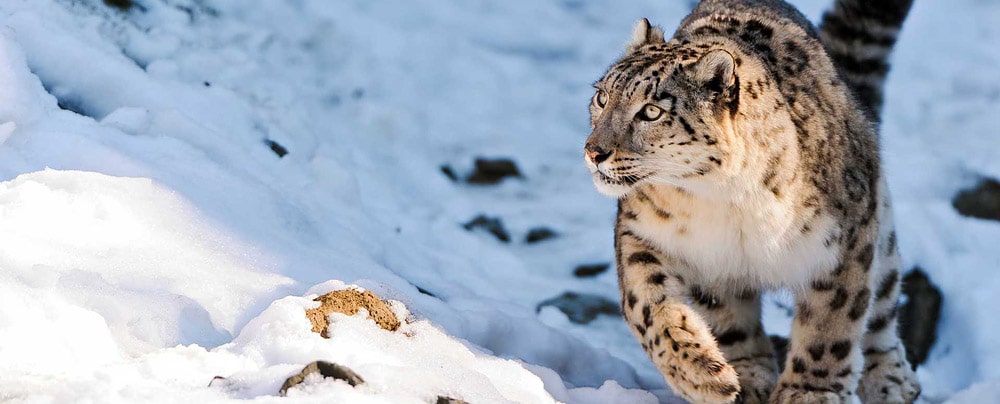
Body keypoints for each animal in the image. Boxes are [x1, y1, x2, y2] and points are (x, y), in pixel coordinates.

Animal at [583, 0, 920, 402]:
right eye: (602, 96)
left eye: (651, 111)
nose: (594, 151)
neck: (723, 202)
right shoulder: (644, 234)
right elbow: (648, 306)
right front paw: (702, 374)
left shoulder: (843, 245)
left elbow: (831, 325)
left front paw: (808, 391)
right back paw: (747, 376)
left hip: (879, 227)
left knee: (882, 303)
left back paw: (890, 378)